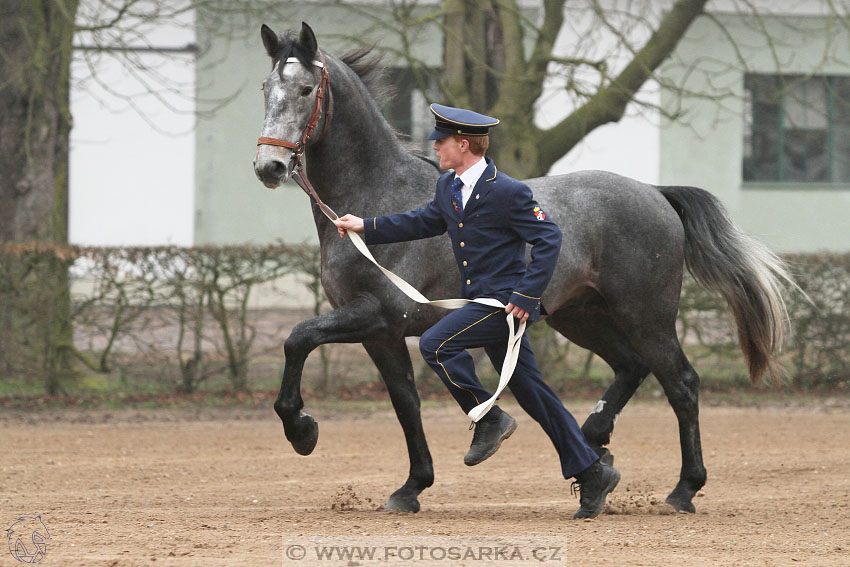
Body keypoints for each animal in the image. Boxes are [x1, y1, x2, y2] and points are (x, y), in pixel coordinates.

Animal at [250, 24, 788, 516]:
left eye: (305, 89)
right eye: (265, 87)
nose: (268, 167)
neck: (379, 197)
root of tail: (656, 193)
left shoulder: (379, 314)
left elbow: (297, 337)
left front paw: (302, 430)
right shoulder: (380, 335)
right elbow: (406, 403)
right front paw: (411, 487)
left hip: (646, 316)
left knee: (681, 384)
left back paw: (681, 489)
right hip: (581, 316)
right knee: (630, 367)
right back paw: (596, 445)